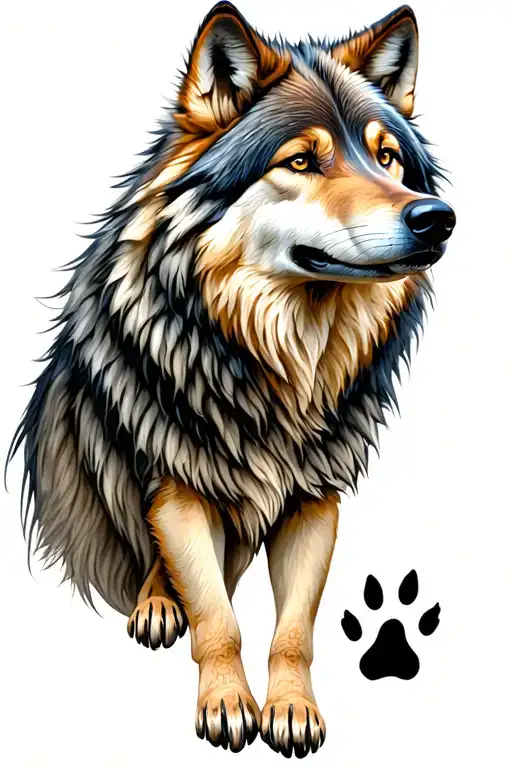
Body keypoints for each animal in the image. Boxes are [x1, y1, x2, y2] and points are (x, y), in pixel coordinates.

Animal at [8, 1, 455, 758]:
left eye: (387, 157)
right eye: (301, 161)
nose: (436, 220)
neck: (286, 359)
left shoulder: (314, 502)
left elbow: (294, 631)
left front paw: (292, 710)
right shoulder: (180, 487)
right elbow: (218, 618)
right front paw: (224, 703)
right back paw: (158, 604)